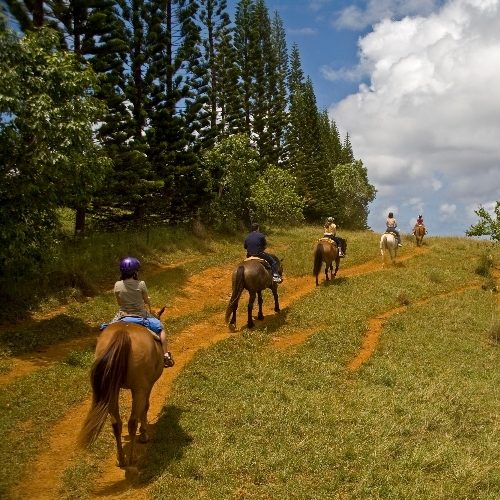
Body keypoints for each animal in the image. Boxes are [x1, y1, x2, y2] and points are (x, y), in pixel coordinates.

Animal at [78, 317, 165, 468]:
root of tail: (123, 333)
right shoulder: (148, 385)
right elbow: (146, 407)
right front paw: (144, 434)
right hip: (138, 388)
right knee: (132, 422)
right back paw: (132, 458)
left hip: (112, 389)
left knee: (116, 424)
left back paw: (121, 459)